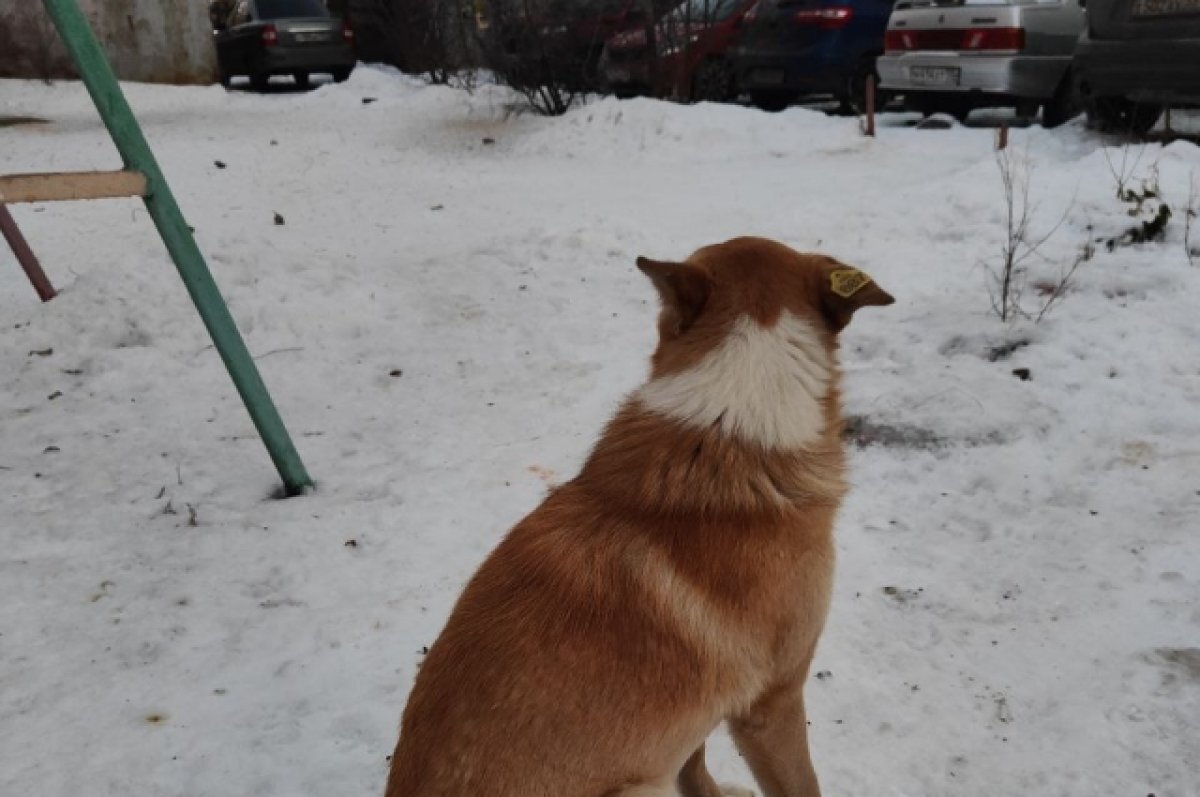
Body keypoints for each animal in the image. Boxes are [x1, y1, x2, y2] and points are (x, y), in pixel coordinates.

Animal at [384, 236, 892, 797]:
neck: (725, 426)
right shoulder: (770, 703)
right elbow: (799, 784)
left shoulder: (694, 710)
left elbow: (693, 761)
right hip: (638, 789)